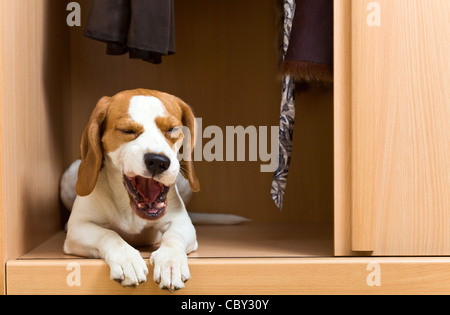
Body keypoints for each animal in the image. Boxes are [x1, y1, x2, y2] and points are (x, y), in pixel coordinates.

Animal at [64, 89, 201, 292]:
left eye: (172, 129)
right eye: (127, 131)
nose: (158, 161)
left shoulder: (182, 223)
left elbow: (173, 237)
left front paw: (171, 262)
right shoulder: (78, 229)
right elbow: (109, 234)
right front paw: (126, 259)